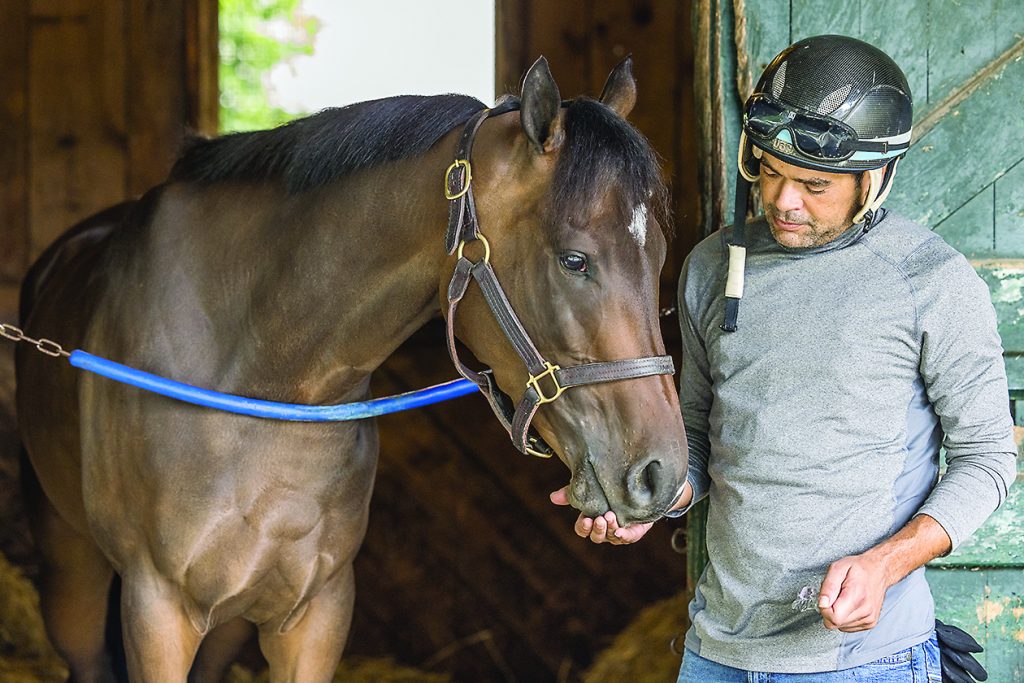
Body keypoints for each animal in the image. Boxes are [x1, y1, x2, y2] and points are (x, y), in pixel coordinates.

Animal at [15, 56, 689, 681]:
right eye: (574, 260)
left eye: (658, 253)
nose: (662, 475)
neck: (263, 374)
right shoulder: (157, 608)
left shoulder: (317, 612)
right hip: (72, 570)